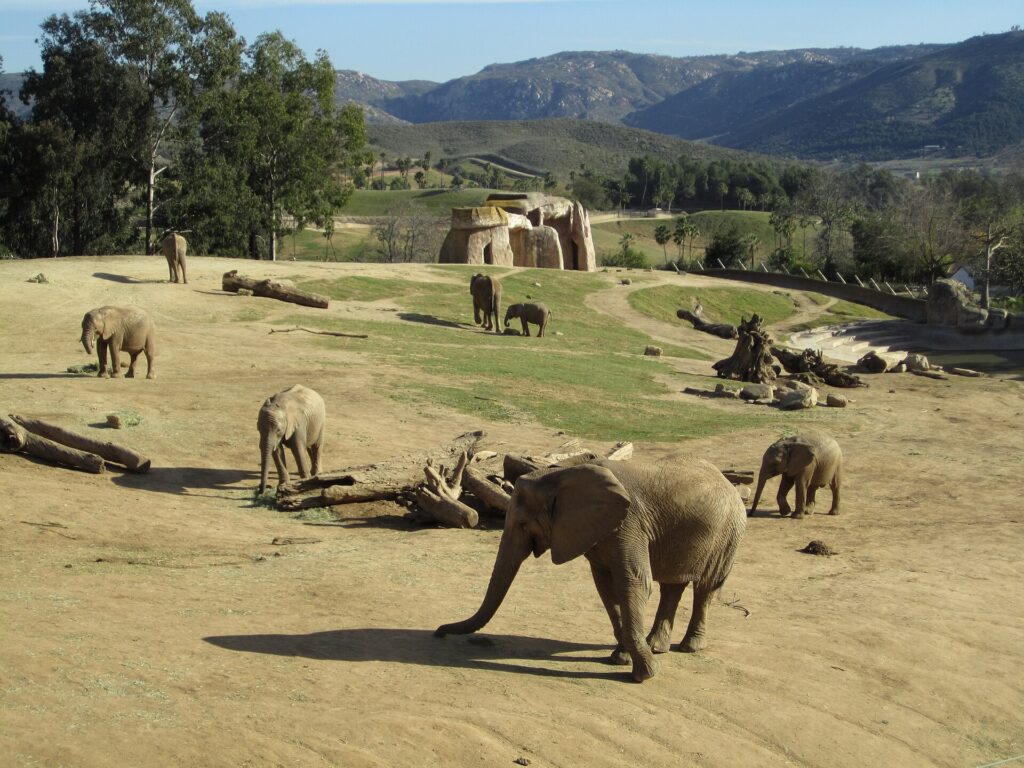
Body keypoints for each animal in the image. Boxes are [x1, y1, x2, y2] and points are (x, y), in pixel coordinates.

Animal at [435, 458, 746, 682]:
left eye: (524, 524)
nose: (439, 632)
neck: (562, 474)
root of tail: (729, 483)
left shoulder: (629, 523)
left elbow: (634, 582)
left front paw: (644, 675)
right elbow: (606, 587)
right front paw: (619, 659)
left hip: (728, 533)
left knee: (707, 587)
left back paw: (689, 647)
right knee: (673, 584)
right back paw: (657, 646)